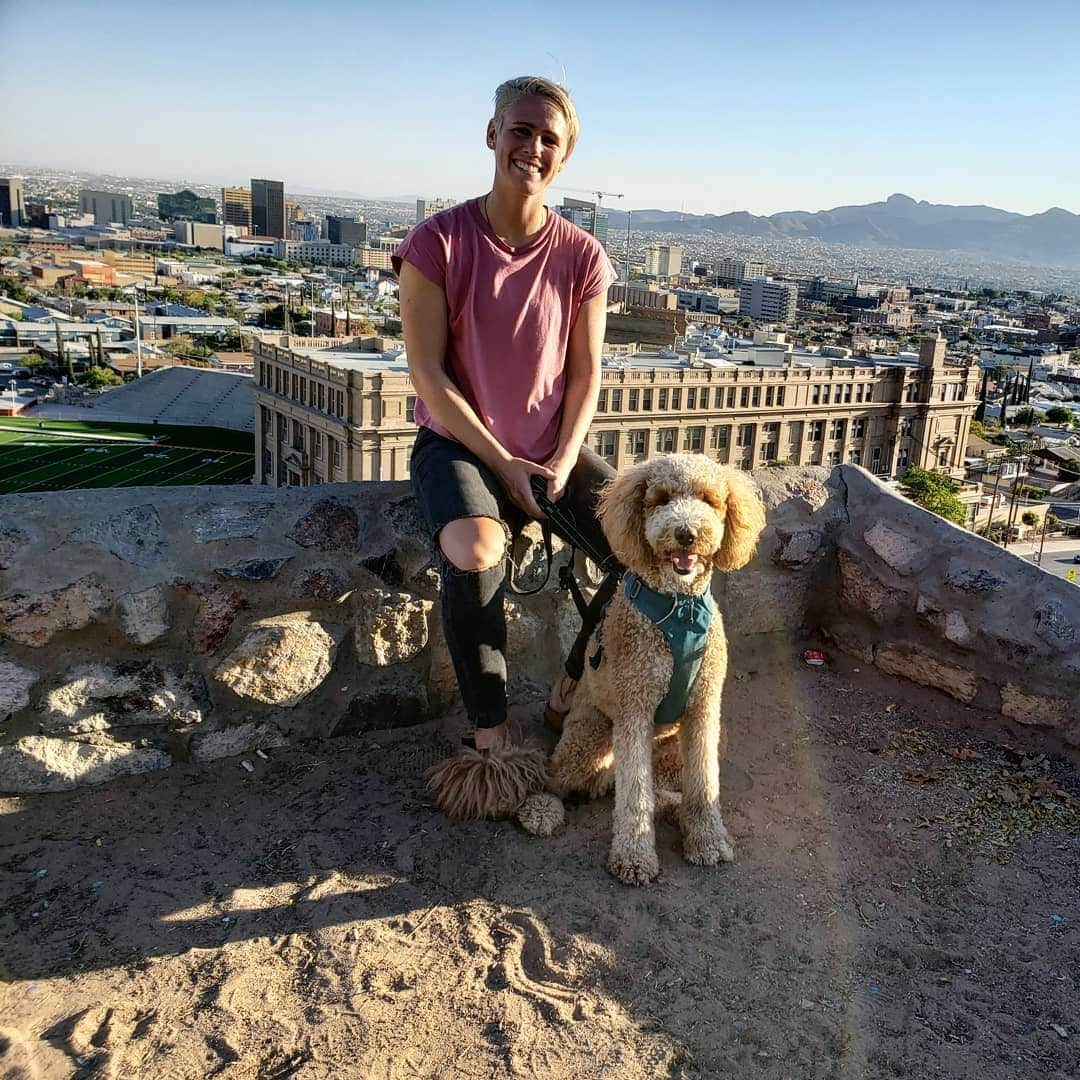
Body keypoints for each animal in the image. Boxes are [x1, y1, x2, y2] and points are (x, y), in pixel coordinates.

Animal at [516, 453, 764, 885]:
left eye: (709, 499)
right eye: (661, 499)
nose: (686, 533)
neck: (679, 609)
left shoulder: (703, 711)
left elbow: (704, 782)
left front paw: (707, 839)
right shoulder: (635, 707)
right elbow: (634, 795)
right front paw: (634, 857)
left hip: (681, 745)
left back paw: (671, 806)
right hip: (590, 734)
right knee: (558, 774)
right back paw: (542, 809)